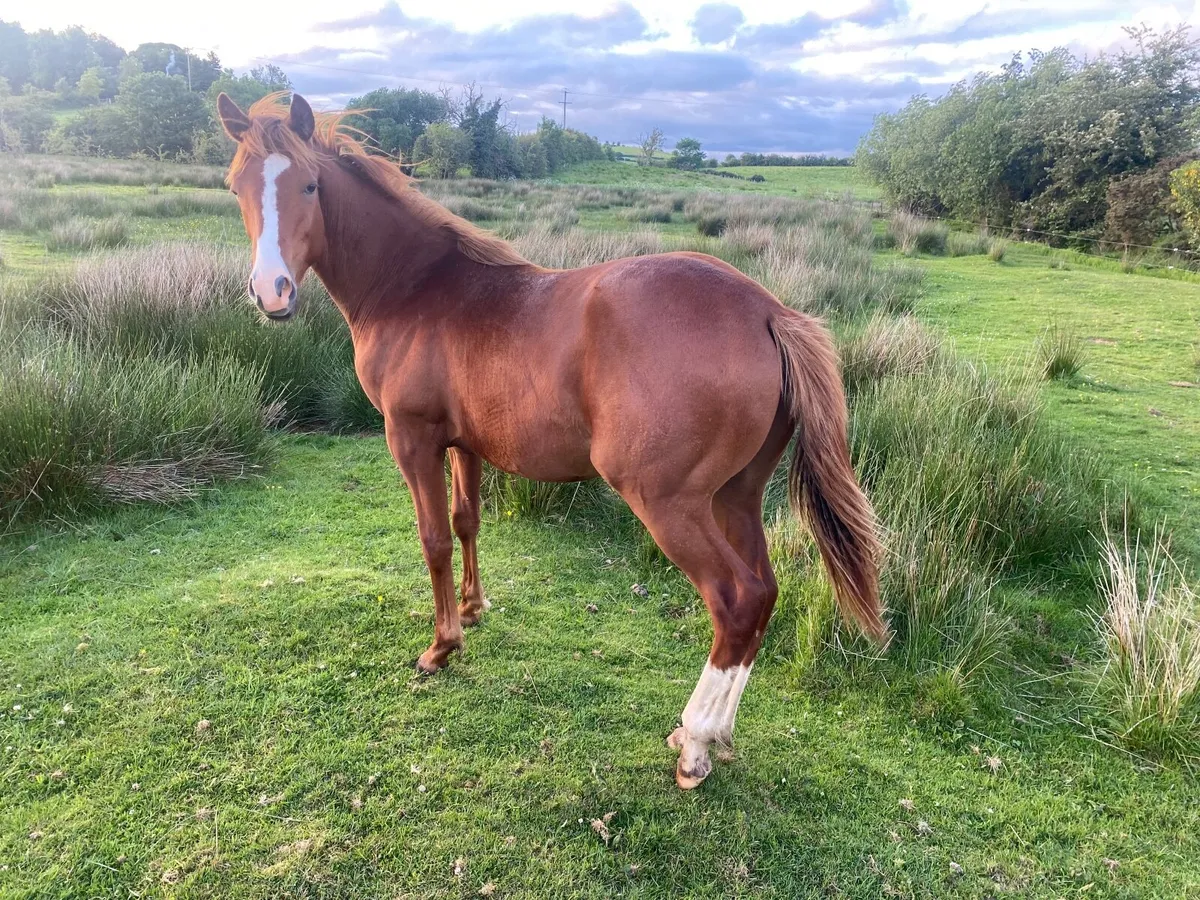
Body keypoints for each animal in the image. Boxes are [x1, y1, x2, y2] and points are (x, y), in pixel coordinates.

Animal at [217, 91, 888, 790]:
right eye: (236, 185)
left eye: (309, 185)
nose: (272, 293)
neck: (416, 288)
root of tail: (767, 310)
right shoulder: (466, 444)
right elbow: (467, 521)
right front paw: (473, 609)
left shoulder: (411, 439)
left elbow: (433, 538)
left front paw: (441, 647)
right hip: (736, 496)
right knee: (764, 594)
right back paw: (717, 733)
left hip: (670, 503)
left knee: (737, 600)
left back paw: (695, 743)